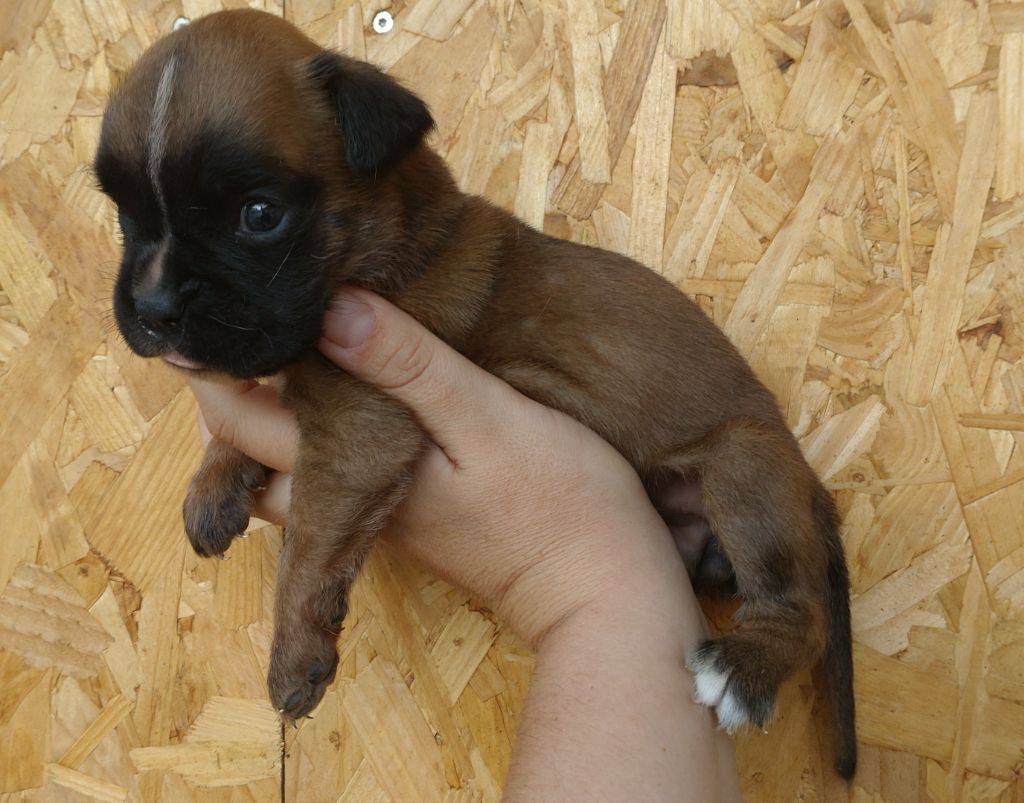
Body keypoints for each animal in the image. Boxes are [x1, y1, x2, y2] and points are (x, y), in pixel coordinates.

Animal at [94, 9, 856, 778]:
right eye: (126, 216)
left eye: (258, 214)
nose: (153, 306)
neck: (391, 237)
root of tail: (808, 484)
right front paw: (216, 478)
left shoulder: (359, 427)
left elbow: (308, 544)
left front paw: (294, 652)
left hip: (744, 468)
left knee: (805, 614)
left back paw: (744, 667)